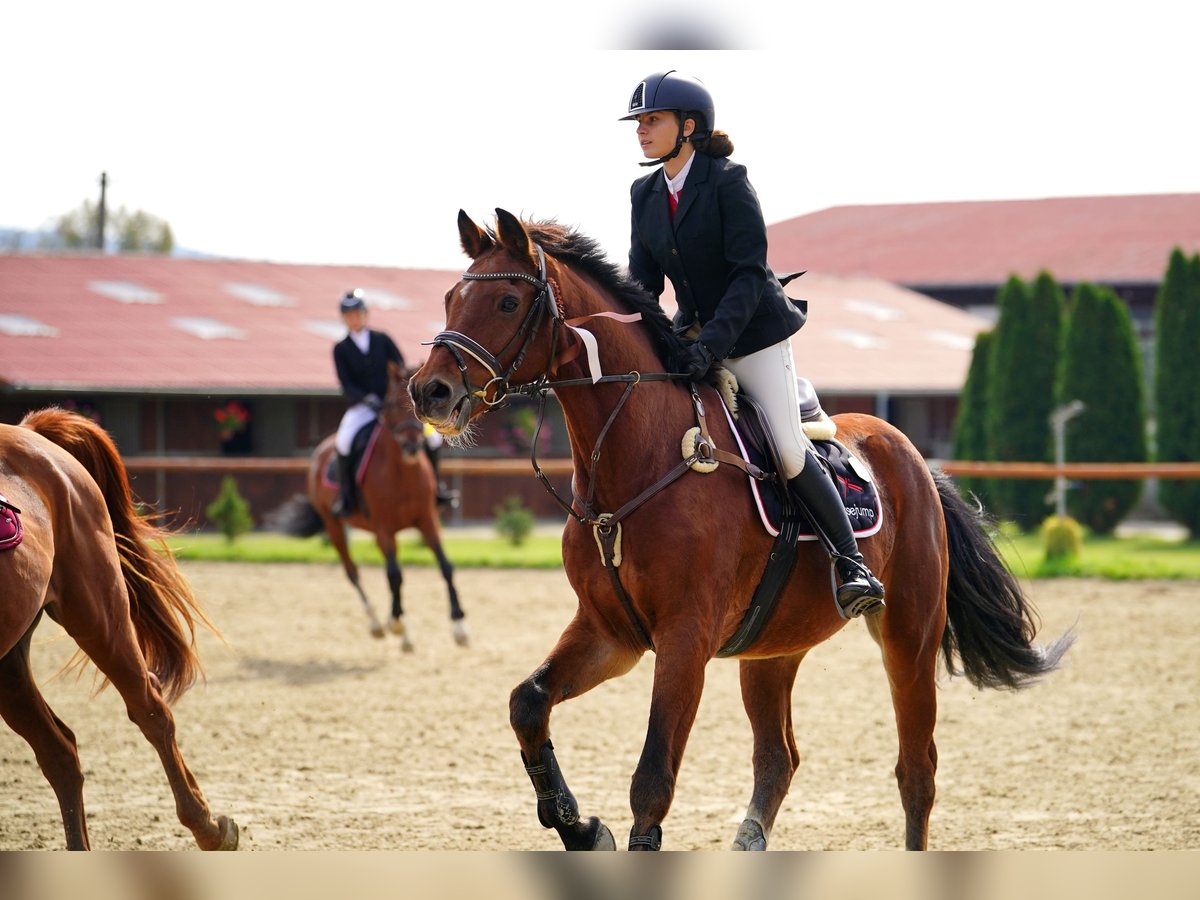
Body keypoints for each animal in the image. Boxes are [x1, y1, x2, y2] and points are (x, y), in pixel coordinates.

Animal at [0, 408, 236, 854]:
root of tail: (28, 431)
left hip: (98, 616)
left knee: (150, 710)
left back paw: (210, 829)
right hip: (9, 663)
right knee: (59, 752)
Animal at [286, 362, 463, 652]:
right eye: (390, 404)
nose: (412, 446)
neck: (403, 471)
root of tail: (322, 449)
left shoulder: (427, 520)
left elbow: (445, 566)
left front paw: (459, 626)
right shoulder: (383, 527)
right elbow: (395, 574)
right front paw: (397, 624)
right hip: (335, 526)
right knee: (353, 572)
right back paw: (378, 624)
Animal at [412, 210, 1080, 854]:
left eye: (507, 302)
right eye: (447, 297)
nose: (429, 391)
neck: (635, 464)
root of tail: (912, 454)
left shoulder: (684, 639)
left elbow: (652, 779)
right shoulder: (610, 633)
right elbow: (527, 703)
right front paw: (579, 826)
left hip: (909, 633)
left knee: (916, 770)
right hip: (772, 646)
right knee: (778, 758)